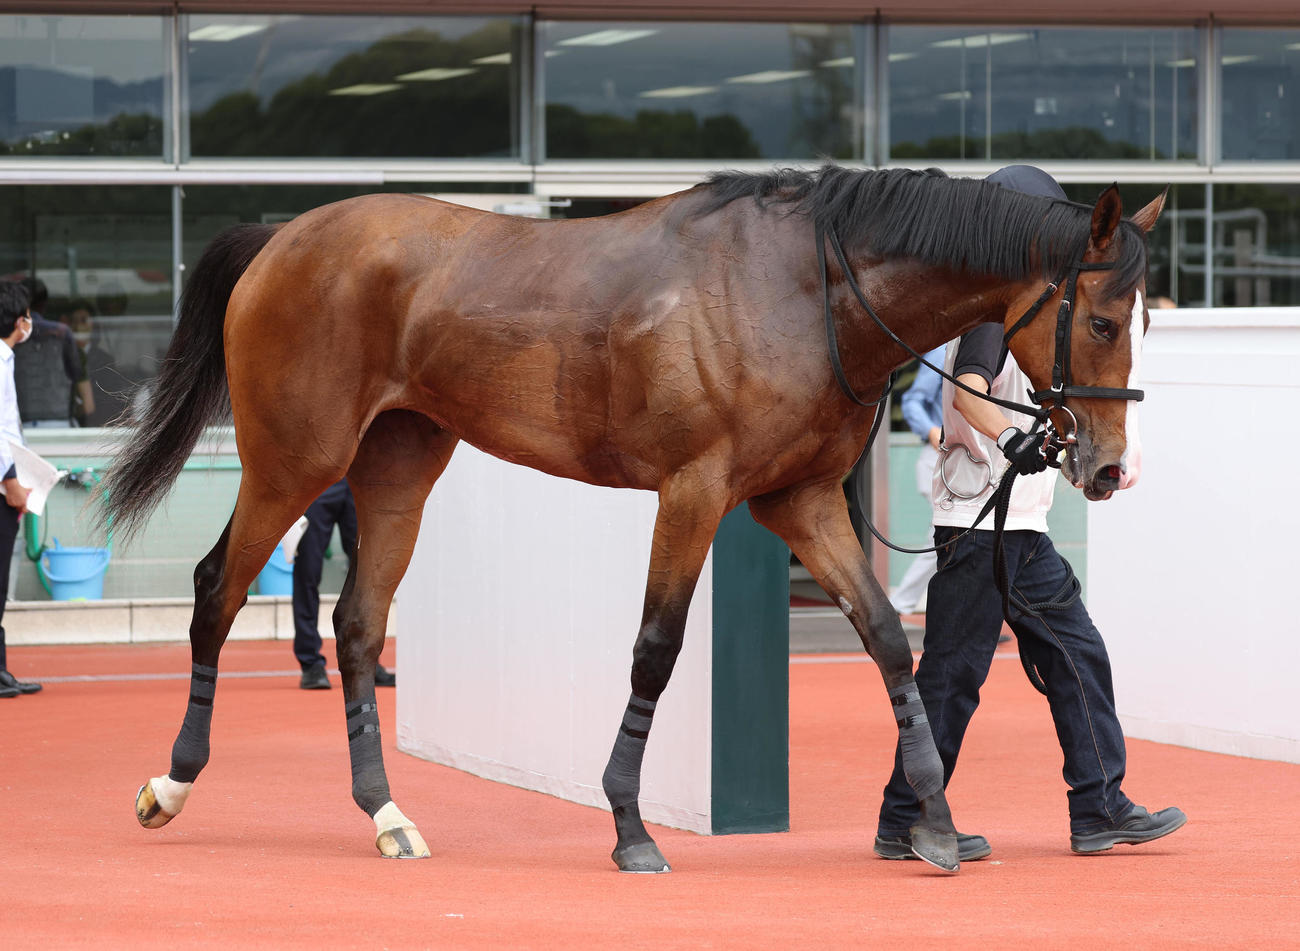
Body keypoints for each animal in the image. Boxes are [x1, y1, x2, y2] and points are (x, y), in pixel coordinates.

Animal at [108, 165, 1164, 874]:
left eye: (1145, 320)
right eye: (1102, 321)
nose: (1111, 466)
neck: (803, 288)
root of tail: (282, 237)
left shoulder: (800, 499)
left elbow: (888, 642)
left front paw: (936, 823)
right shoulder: (694, 491)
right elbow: (656, 647)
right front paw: (628, 825)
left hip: (401, 464)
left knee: (359, 624)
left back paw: (386, 814)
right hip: (294, 459)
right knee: (217, 588)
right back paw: (174, 781)